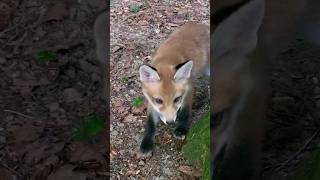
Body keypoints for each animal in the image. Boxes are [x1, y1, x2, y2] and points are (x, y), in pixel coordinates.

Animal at [138, 21, 210, 155]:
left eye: (177, 99)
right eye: (159, 100)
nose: (170, 122)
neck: (167, 59)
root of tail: (201, 25)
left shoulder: (188, 89)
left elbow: (185, 112)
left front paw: (181, 129)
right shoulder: (151, 102)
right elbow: (150, 123)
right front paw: (146, 143)